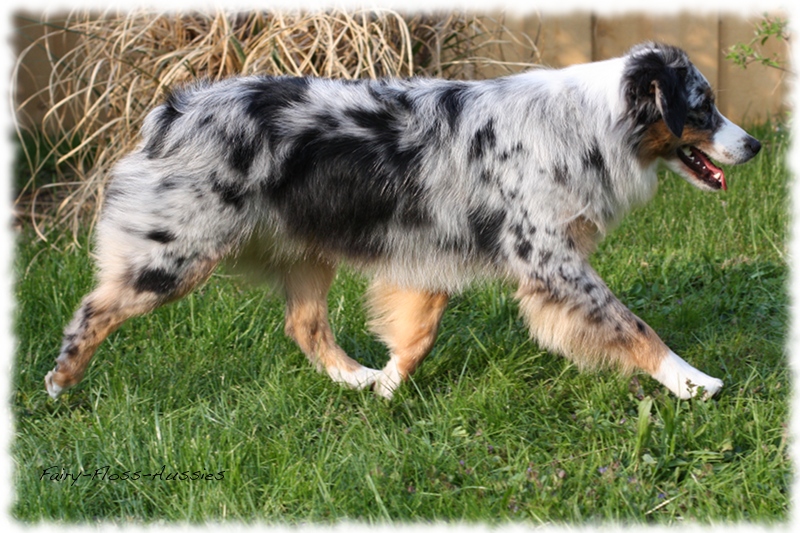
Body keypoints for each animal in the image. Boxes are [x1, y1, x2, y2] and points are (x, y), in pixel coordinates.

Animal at [45, 42, 764, 400]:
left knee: (303, 325)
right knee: (96, 305)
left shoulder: (434, 250)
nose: (756, 144)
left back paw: (356, 378)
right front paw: (692, 382)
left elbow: (417, 335)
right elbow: (633, 325)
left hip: (305, 250)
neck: (589, 126)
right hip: (178, 253)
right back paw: (59, 382)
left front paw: (387, 387)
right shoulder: (549, 261)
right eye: (702, 106)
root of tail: (171, 109)